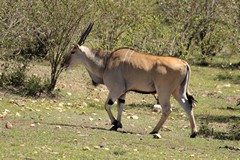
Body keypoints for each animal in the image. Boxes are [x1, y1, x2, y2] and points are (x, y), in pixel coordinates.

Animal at [62, 23, 198, 138]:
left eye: (73, 51)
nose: (64, 64)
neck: (107, 61)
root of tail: (184, 63)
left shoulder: (117, 89)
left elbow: (107, 105)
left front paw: (115, 123)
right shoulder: (123, 92)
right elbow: (120, 106)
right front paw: (117, 125)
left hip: (164, 91)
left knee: (167, 109)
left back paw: (154, 130)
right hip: (178, 92)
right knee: (187, 106)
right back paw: (193, 132)